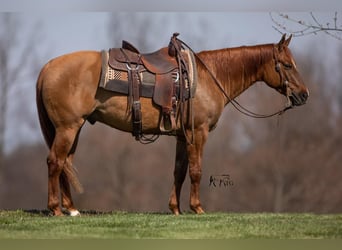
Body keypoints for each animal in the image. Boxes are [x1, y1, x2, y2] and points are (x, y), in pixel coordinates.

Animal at [36, 34, 308, 216]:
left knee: (66, 164)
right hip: (68, 128)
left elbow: (179, 171)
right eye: (287, 65)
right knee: (55, 162)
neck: (209, 77)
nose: (304, 95)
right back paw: (56, 209)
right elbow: (196, 170)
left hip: (74, 128)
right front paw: (197, 208)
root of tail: (47, 67)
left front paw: (175, 209)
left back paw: (71, 209)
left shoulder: (182, 135)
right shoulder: (199, 132)